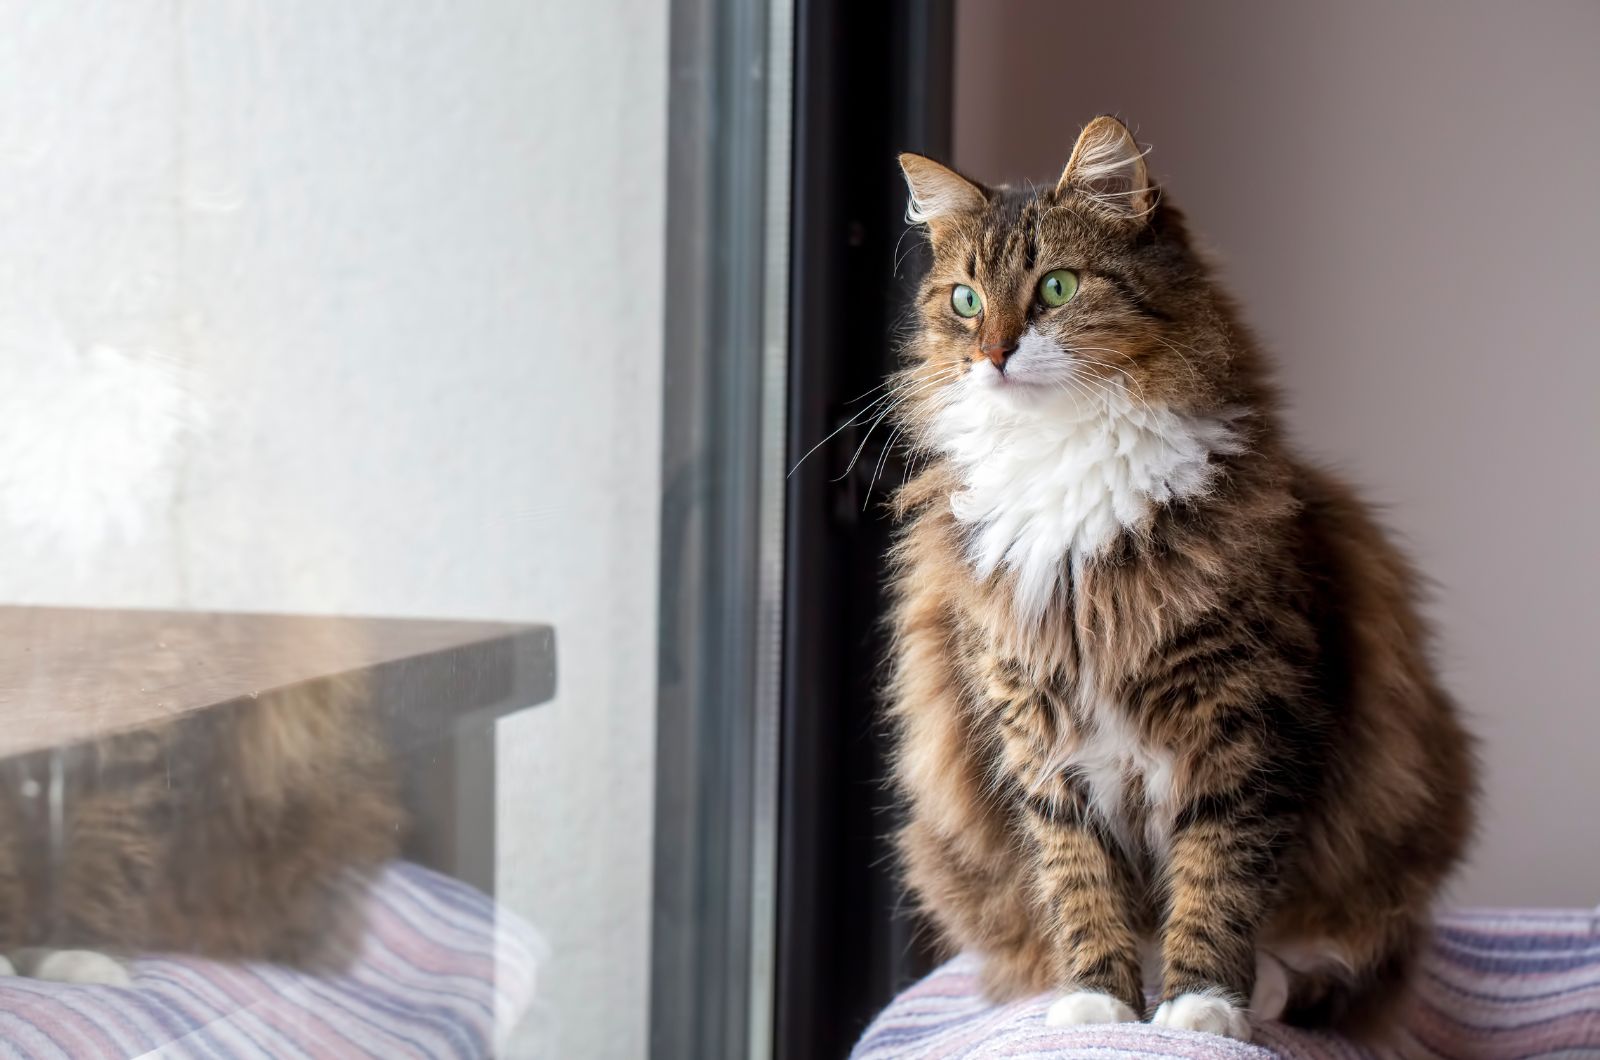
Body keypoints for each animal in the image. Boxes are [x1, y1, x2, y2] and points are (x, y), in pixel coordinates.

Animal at [889, 118, 1472, 1043]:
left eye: (1056, 287)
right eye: (966, 302)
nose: (993, 355)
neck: (1069, 465)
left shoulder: (1245, 725)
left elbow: (1216, 877)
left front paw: (1200, 1007)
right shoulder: (1039, 732)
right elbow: (1079, 879)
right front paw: (1099, 1005)